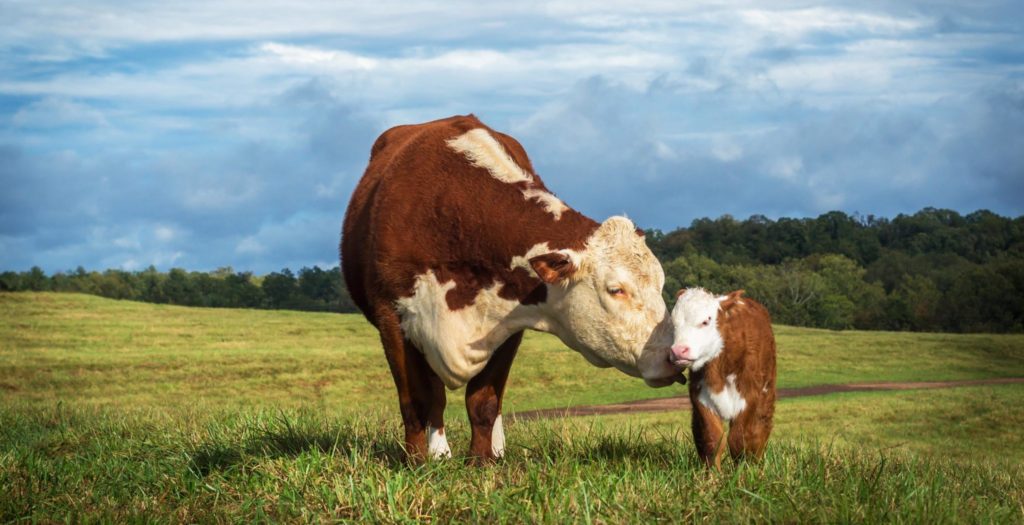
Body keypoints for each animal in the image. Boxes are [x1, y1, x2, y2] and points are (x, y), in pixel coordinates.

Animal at [339, 114, 684, 462]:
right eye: (616, 290)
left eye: (661, 284)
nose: (672, 355)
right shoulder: (392, 319)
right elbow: (416, 399)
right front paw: (418, 461)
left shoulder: (507, 323)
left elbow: (484, 401)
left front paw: (481, 461)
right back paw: (439, 453)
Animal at [667, 286, 770, 466]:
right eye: (673, 323)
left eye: (705, 321)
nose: (678, 351)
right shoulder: (699, 395)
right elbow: (712, 439)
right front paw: (713, 473)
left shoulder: (749, 396)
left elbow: (739, 440)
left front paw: (744, 470)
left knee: (760, 430)